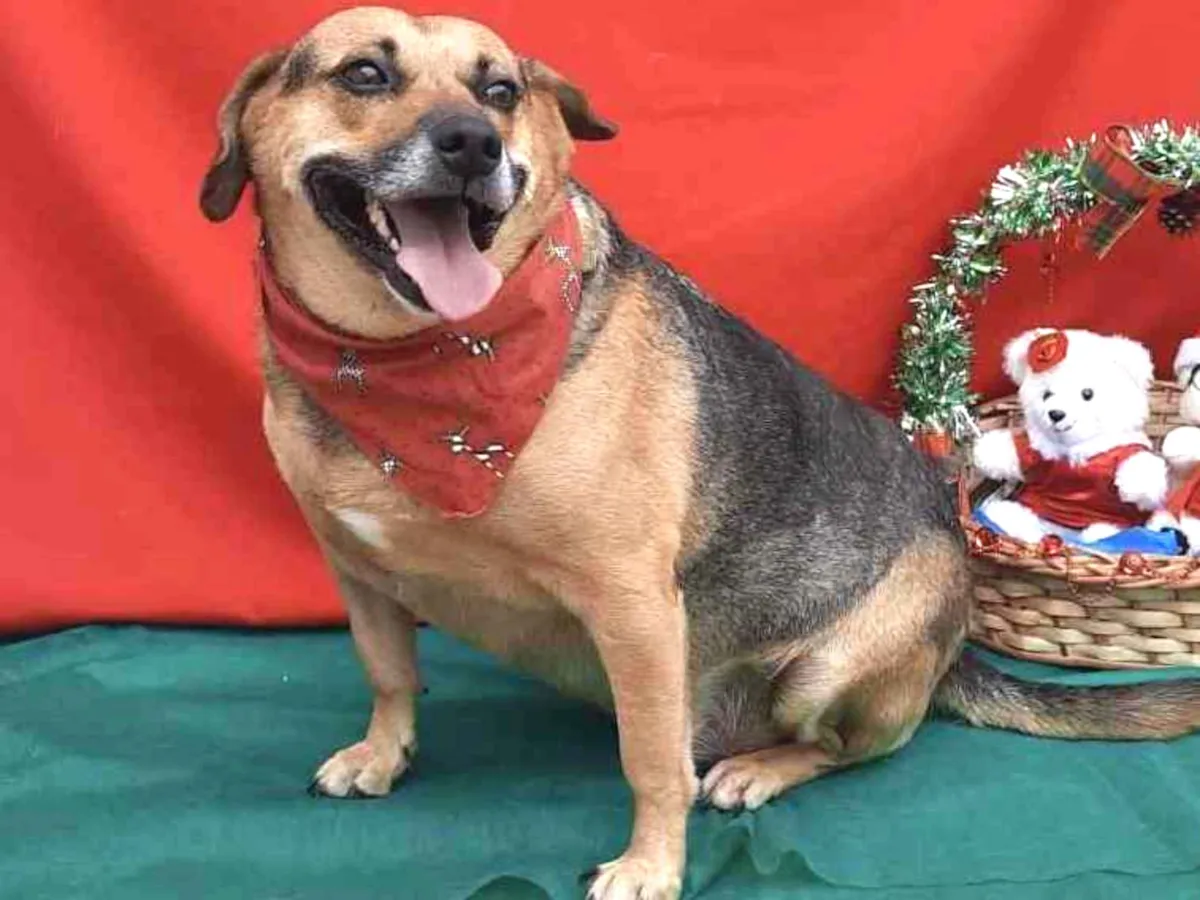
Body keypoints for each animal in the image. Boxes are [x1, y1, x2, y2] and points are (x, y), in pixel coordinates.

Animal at [201, 9, 1200, 898]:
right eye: (364, 74)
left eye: (501, 91)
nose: (473, 144)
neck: (408, 366)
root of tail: (952, 648)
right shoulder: (359, 569)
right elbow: (389, 674)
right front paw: (384, 753)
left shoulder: (634, 605)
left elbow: (650, 759)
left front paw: (650, 867)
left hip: (828, 671)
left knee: (853, 747)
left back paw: (758, 769)